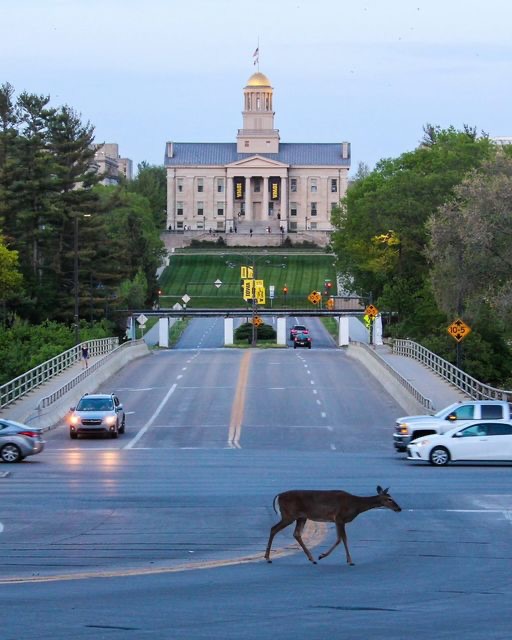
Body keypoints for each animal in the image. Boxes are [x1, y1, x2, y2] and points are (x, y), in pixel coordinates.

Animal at [265, 486, 401, 565]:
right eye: (389, 499)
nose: (399, 508)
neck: (356, 505)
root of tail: (278, 496)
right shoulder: (340, 517)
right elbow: (343, 538)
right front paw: (349, 561)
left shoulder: (337, 520)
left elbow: (339, 538)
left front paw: (323, 556)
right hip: (289, 515)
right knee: (273, 529)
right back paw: (268, 558)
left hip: (301, 517)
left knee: (296, 534)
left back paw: (312, 558)